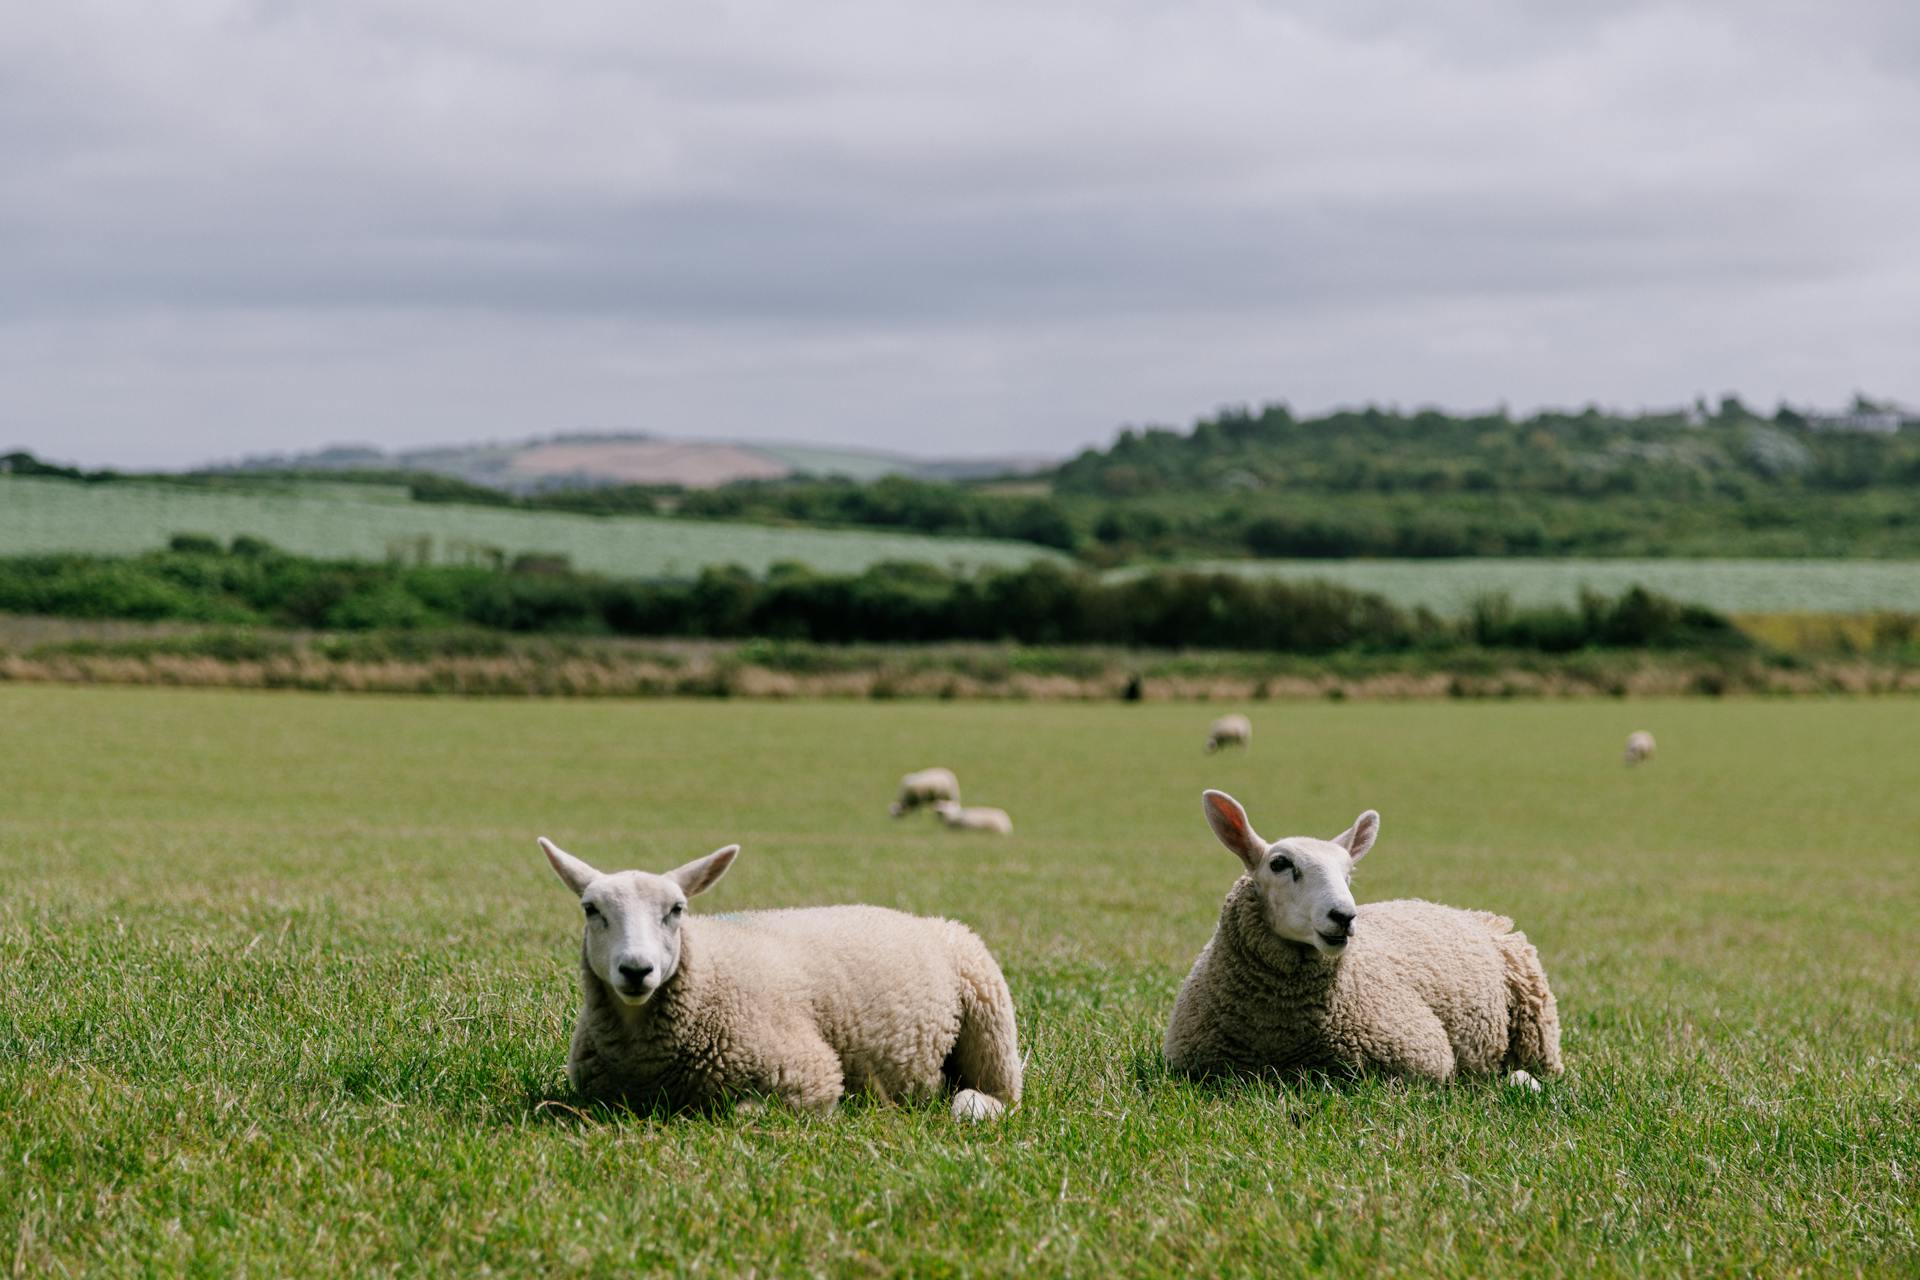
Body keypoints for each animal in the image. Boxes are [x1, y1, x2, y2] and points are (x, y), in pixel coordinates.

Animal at [541, 836, 1021, 1113]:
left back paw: (968, 1104)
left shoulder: (811, 1074)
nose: (636, 969)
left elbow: (745, 1111)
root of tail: (923, 919)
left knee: (998, 1098)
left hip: (991, 1019)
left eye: (676, 910)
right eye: (591, 909)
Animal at [1167, 790, 1559, 1090]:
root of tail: (1465, 911)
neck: (1279, 1031)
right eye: (1279, 864)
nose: (1344, 916)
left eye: (1348, 873)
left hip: (1536, 1027)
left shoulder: (1419, 1055)